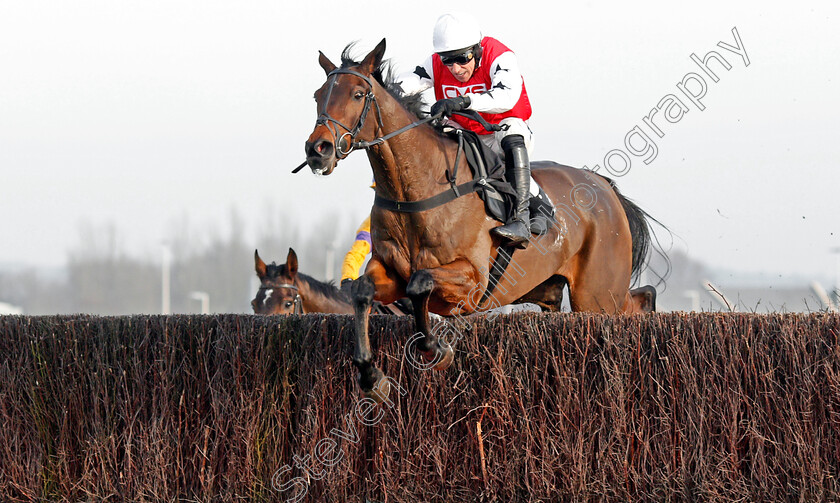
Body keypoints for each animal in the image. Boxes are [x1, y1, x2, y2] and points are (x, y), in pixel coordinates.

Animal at [306, 40, 660, 402]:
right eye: (318, 95)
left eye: (358, 94)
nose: (318, 149)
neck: (418, 186)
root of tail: (604, 187)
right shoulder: (390, 272)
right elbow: (364, 291)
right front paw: (371, 375)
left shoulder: (472, 280)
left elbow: (420, 282)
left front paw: (437, 350)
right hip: (555, 293)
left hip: (598, 295)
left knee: (636, 301)